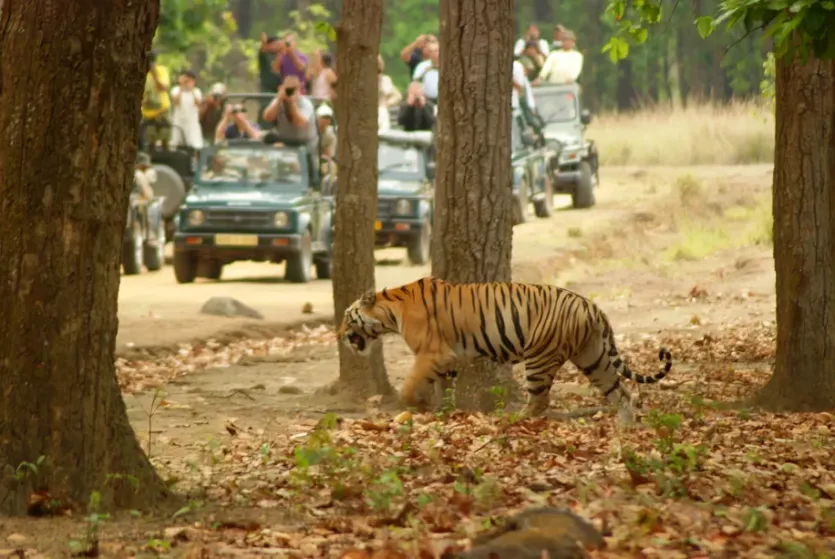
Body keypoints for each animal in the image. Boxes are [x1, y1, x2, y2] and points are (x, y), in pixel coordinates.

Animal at [337, 277, 672, 426]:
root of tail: (593, 307)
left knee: (539, 400)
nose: (338, 335)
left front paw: (411, 406)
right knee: (622, 393)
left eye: (346, 316)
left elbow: (411, 385)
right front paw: (440, 412)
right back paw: (624, 428)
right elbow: (442, 388)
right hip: (593, 358)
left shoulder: (431, 354)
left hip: (540, 357)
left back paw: (511, 421)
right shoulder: (448, 359)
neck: (391, 312)